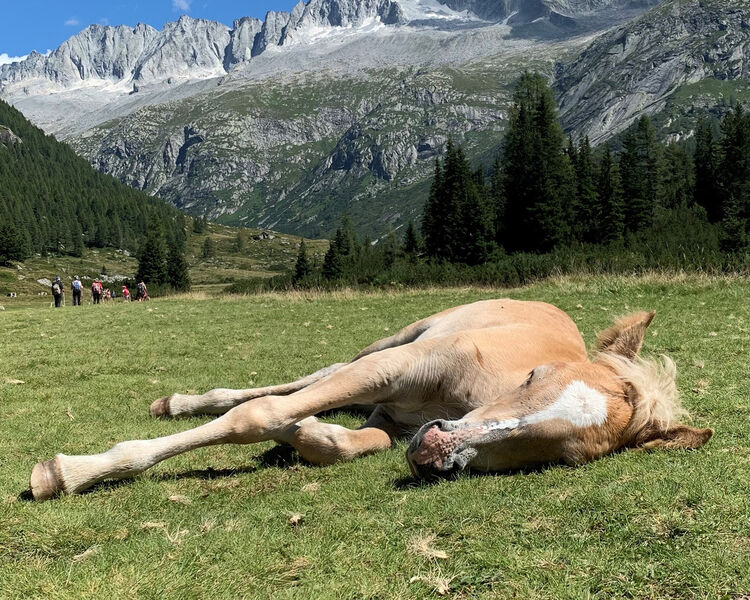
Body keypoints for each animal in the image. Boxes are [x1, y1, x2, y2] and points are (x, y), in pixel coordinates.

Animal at [29, 300, 712, 502]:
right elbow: (259, 414)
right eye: (533, 376)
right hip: (394, 341)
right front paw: (71, 471)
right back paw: (181, 402)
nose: (436, 450)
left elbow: (345, 440)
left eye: (565, 457)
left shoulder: (391, 418)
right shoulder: (393, 367)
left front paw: (309, 437)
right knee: (305, 377)